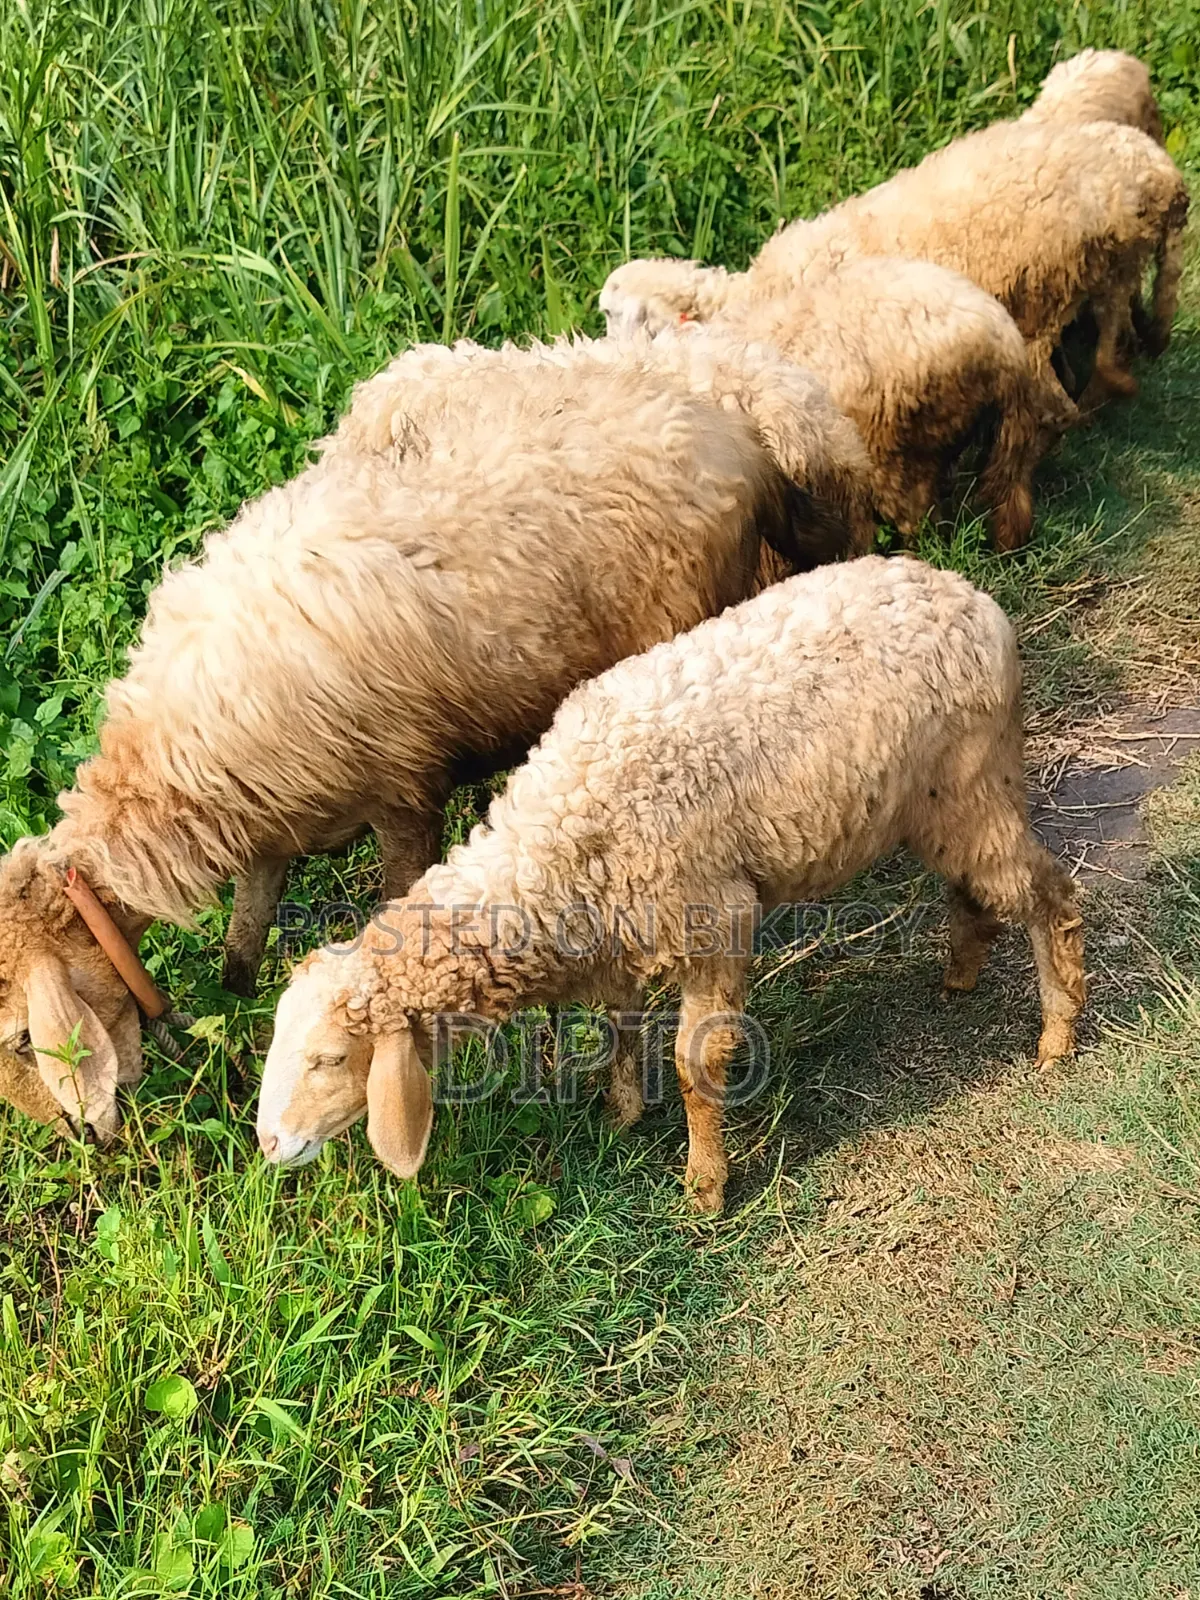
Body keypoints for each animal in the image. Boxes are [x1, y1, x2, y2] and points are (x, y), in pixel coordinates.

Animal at [0, 336, 864, 1141]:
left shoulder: (403, 794)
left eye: (17, 1040)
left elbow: (394, 904)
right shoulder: (271, 830)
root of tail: (736, 427)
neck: (168, 766)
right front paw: (235, 1022)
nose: (78, 1139)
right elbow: (243, 942)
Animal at [256, 555, 1087, 1214]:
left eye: (329, 1060)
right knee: (978, 886)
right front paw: (621, 1110)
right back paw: (962, 970)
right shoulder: (616, 932)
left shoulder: (716, 919)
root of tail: (971, 598)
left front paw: (705, 1184)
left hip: (975, 780)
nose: (269, 1143)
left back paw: (1057, 1032)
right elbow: (617, 1025)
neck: (555, 843)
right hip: (938, 802)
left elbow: (696, 1063)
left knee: (1049, 892)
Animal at [600, 119, 1188, 415]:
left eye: (612, 314)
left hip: (1054, 284)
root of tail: (1157, 173)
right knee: (1115, 330)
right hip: (1109, 267)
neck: (752, 294)